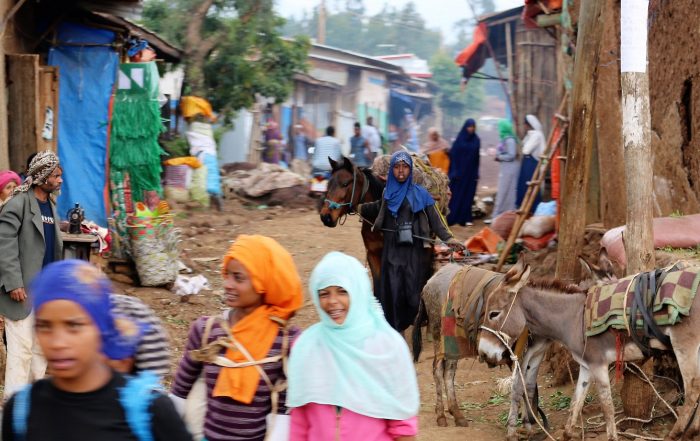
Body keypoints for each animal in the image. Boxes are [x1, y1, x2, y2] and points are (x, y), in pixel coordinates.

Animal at [412, 262, 548, 434]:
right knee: (437, 370)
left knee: (448, 372)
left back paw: (457, 414)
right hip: (438, 335)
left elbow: (530, 386)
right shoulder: (518, 356)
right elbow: (522, 386)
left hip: (453, 342)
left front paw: (530, 420)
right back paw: (441, 415)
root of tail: (431, 281)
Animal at [478, 258, 700, 440]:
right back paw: (692, 431)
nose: (482, 354)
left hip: (684, 344)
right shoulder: (586, 366)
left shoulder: (598, 364)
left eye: (493, 313)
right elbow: (576, 402)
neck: (576, 318)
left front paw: (612, 437)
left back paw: (677, 433)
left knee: (692, 390)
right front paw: (569, 433)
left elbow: (607, 407)